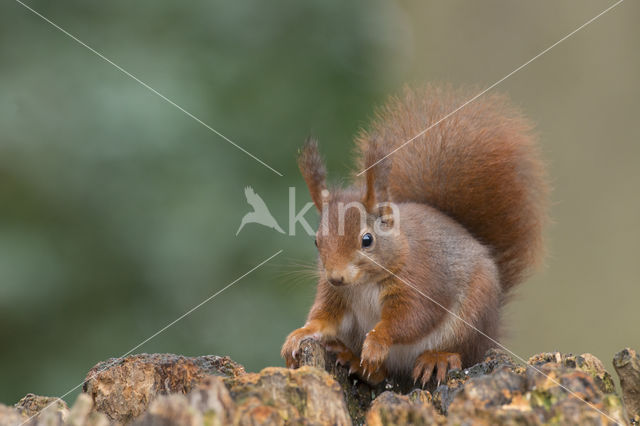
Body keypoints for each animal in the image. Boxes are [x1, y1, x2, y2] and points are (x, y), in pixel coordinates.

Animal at [282, 85, 548, 384]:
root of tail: (492, 333)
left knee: (460, 350)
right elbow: (323, 319)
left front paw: (376, 341)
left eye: (367, 240)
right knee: (380, 375)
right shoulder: (335, 296)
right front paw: (299, 335)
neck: (364, 284)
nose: (336, 277)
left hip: (469, 321)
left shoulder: (420, 283)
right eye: (316, 241)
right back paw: (353, 359)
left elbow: (410, 319)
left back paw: (436, 358)